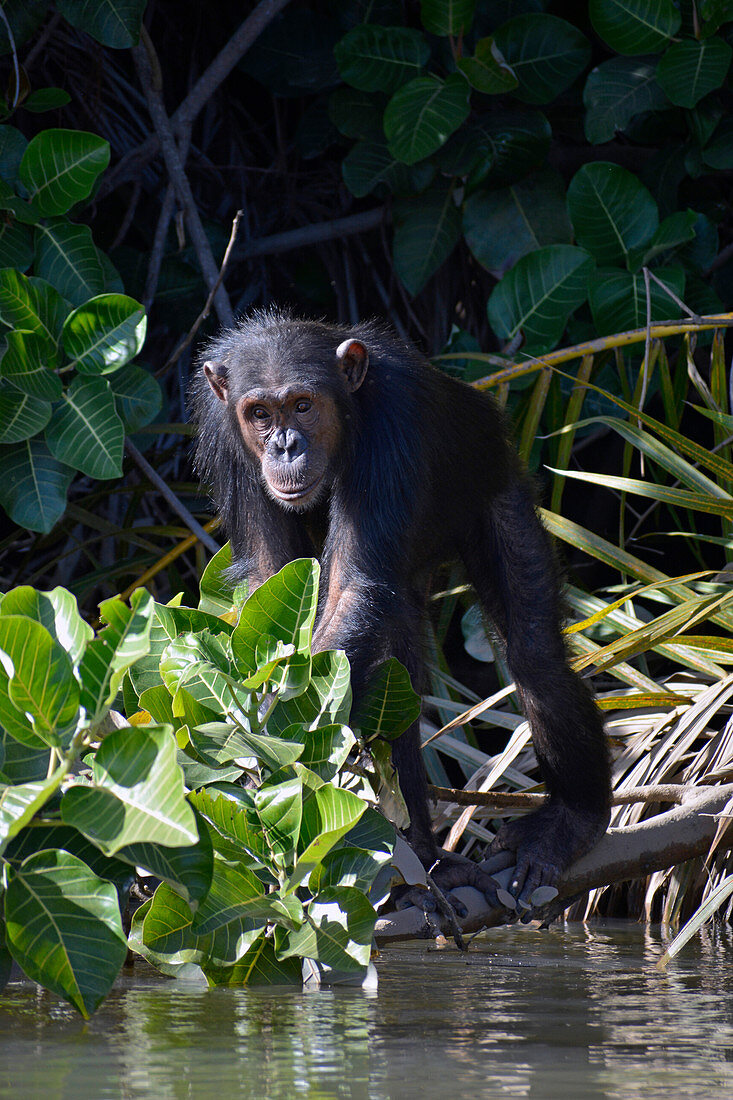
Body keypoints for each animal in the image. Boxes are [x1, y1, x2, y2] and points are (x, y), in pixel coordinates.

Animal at [191, 305, 607, 906]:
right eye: (259, 413)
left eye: (302, 405)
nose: (285, 444)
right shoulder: (225, 441)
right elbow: (272, 576)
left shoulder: (396, 418)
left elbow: (352, 587)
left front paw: (275, 753)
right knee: (398, 662)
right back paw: (423, 862)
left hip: (496, 492)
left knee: (533, 656)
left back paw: (571, 821)